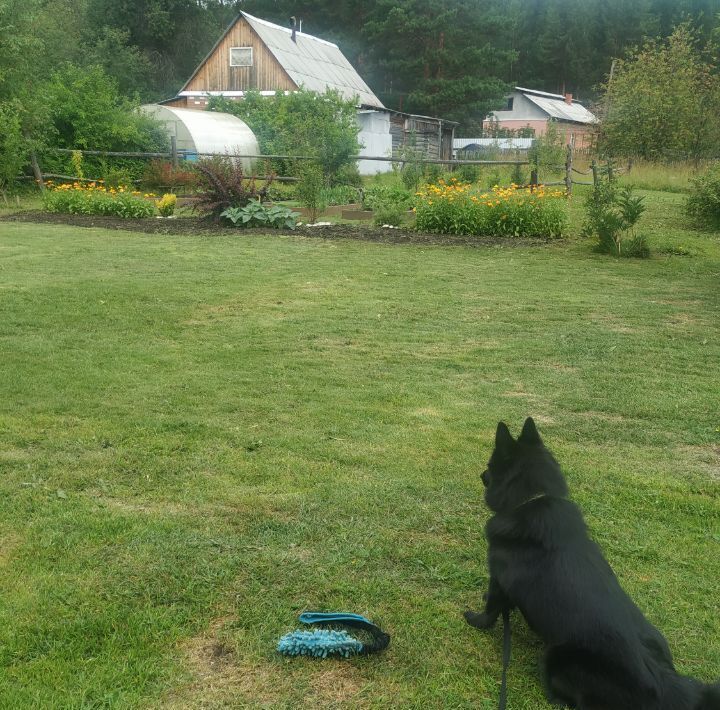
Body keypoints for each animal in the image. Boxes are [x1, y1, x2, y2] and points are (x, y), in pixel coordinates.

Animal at [464, 420, 716, 708]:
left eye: (490, 464)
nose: (481, 474)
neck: (534, 498)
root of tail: (665, 685)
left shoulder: (498, 577)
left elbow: (491, 610)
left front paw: (475, 620)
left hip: (556, 656)